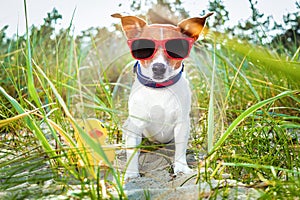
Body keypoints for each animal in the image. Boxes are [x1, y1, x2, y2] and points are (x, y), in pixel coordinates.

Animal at [111, 12, 212, 180]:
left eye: (174, 48)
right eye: (146, 48)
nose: (158, 68)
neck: (159, 90)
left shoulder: (182, 125)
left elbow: (180, 149)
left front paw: (181, 168)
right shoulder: (136, 126)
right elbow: (132, 153)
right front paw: (131, 173)